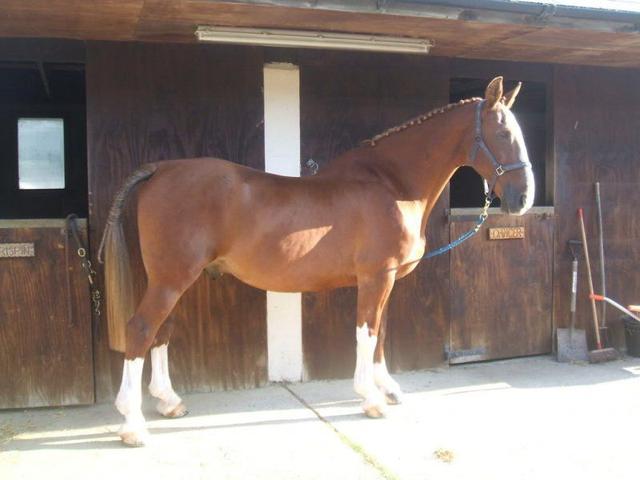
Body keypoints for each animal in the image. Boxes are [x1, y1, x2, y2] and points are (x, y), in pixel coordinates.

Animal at [99, 76, 534, 446]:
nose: (523, 199)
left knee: (162, 332)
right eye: (503, 133)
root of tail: (161, 168)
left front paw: (388, 389)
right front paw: (370, 398)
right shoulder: (375, 278)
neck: (390, 184)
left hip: (172, 280)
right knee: (140, 330)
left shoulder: (386, 279)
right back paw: (133, 425)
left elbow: (381, 334)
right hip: (170, 280)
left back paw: (168, 402)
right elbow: (367, 333)